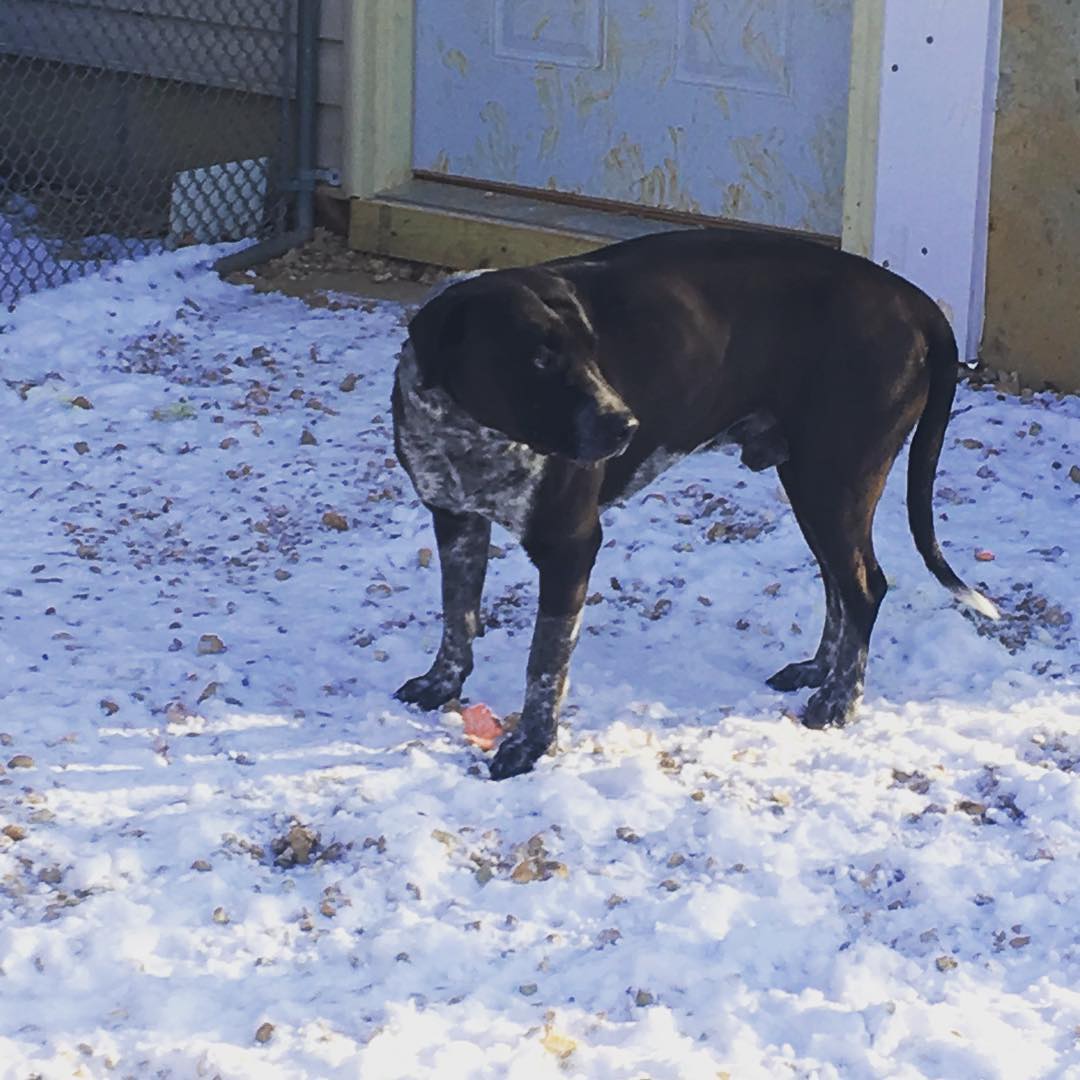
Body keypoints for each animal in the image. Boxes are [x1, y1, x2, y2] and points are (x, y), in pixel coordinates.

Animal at [386, 230, 993, 786]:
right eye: (537, 358)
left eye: (592, 350)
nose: (624, 426)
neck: (472, 435)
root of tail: (913, 301)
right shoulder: (455, 520)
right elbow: (458, 615)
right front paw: (443, 682)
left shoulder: (570, 546)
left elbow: (544, 663)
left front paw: (531, 744)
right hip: (810, 486)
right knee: (837, 587)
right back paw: (818, 670)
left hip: (834, 482)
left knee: (865, 588)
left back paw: (839, 699)